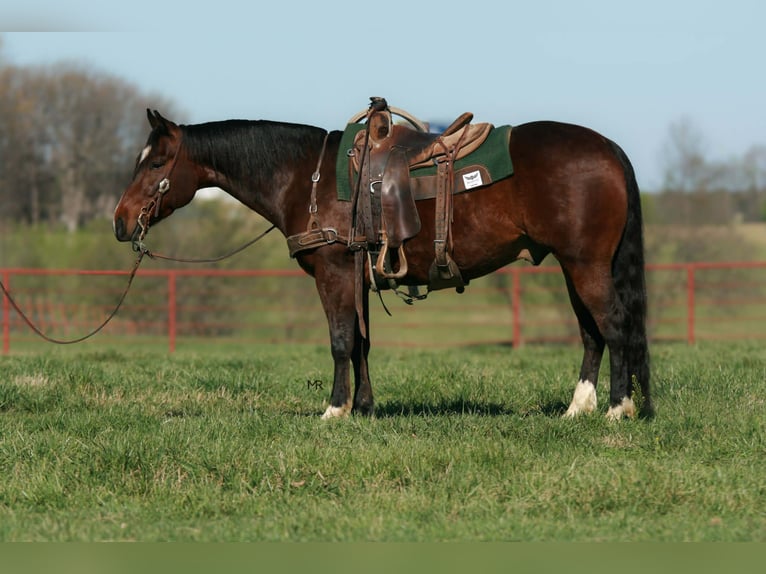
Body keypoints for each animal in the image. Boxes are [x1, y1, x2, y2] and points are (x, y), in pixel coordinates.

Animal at [113, 104, 652, 420]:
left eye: (156, 163)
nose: (119, 221)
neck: (306, 177)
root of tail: (609, 149)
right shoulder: (356, 275)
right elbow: (361, 344)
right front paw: (365, 407)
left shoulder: (332, 272)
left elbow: (339, 342)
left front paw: (334, 410)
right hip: (572, 266)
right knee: (592, 333)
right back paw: (577, 409)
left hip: (585, 265)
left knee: (615, 325)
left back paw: (618, 410)